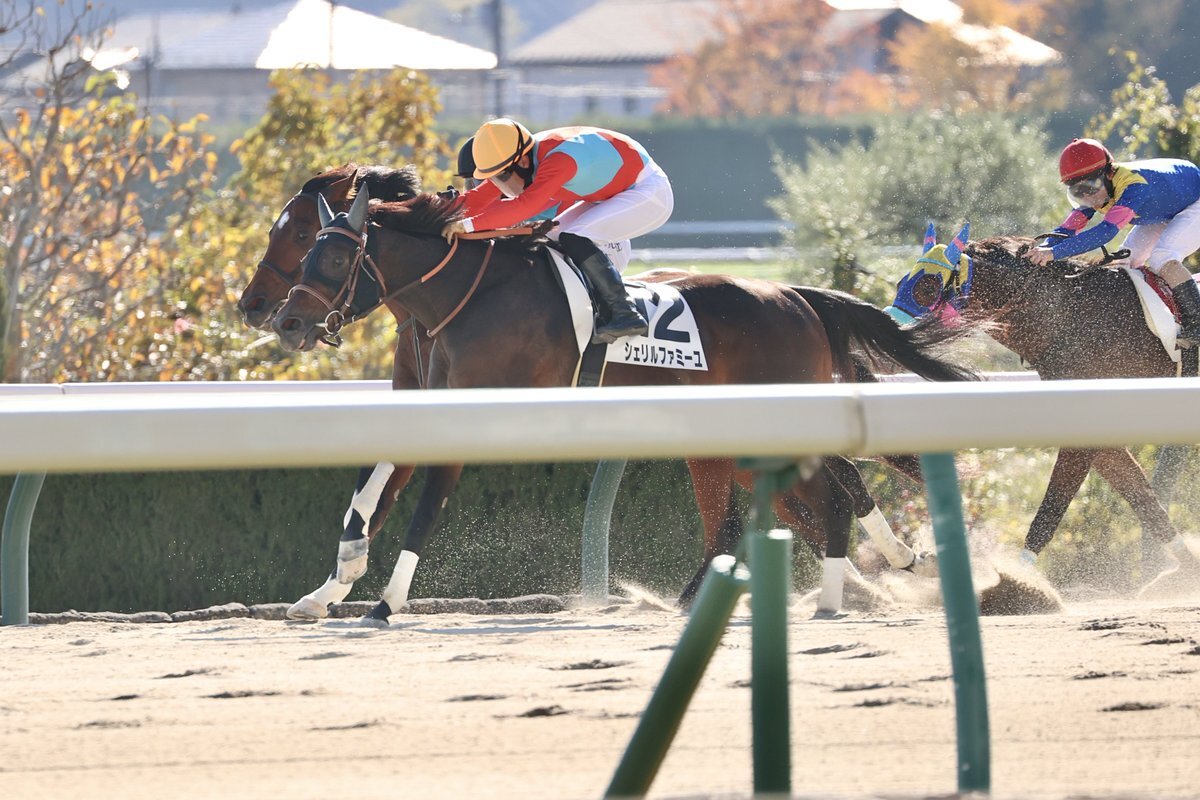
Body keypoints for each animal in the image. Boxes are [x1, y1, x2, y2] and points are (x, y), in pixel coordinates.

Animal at [239, 166, 936, 621]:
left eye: (320, 252)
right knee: (773, 510)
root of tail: (795, 295)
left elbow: (423, 507)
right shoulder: (417, 404)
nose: (279, 318)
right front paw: (328, 590)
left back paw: (858, 582)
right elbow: (368, 496)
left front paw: (385, 603)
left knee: (832, 492)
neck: (455, 297)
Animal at [886, 225, 1196, 572]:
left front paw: (1017, 581)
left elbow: (1052, 509)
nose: (884, 336)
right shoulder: (1098, 432)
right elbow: (1144, 498)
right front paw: (1185, 571)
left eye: (927, 286)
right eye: (900, 283)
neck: (1065, 318)